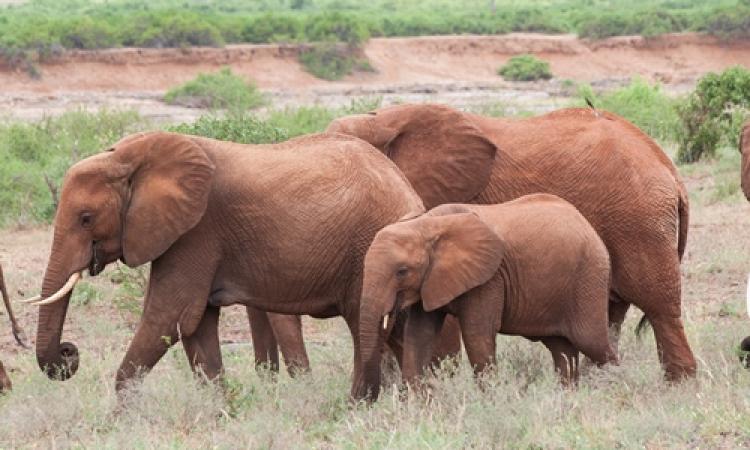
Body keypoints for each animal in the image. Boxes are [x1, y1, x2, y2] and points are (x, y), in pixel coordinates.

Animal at [28, 130, 424, 395]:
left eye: (85, 218)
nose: (69, 353)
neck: (127, 156)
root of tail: (407, 189)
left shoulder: (196, 233)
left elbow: (169, 316)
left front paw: (121, 421)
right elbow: (195, 325)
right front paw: (220, 410)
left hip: (369, 249)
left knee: (366, 327)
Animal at [356, 195, 618, 400]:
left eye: (402, 271)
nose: (366, 398)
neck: (427, 224)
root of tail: (588, 225)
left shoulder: (489, 279)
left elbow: (477, 335)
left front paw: (489, 400)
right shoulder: (430, 281)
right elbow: (418, 335)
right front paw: (418, 405)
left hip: (588, 278)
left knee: (592, 342)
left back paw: (614, 389)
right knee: (561, 348)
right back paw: (568, 397)